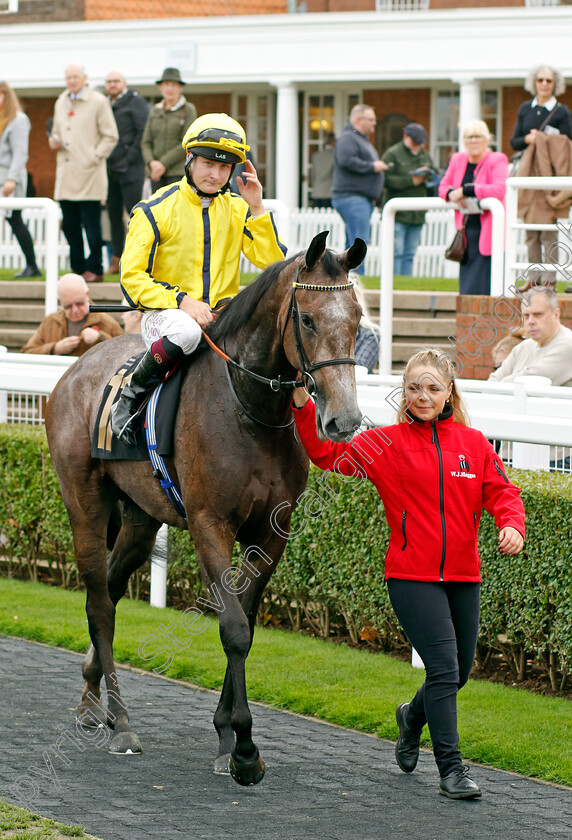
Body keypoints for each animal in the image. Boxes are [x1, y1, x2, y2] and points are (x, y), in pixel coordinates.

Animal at [45, 226, 366, 784]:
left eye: (359, 318)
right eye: (307, 318)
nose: (343, 420)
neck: (249, 410)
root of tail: (77, 368)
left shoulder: (270, 534)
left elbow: (249, 624)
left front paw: (225, 735)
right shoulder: (209, 524)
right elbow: (233, 628)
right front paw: (243, 749)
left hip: (139, 521)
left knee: (110, 588)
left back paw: (91, 699)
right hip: (84, 505)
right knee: (99, 605)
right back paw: (122, 723)